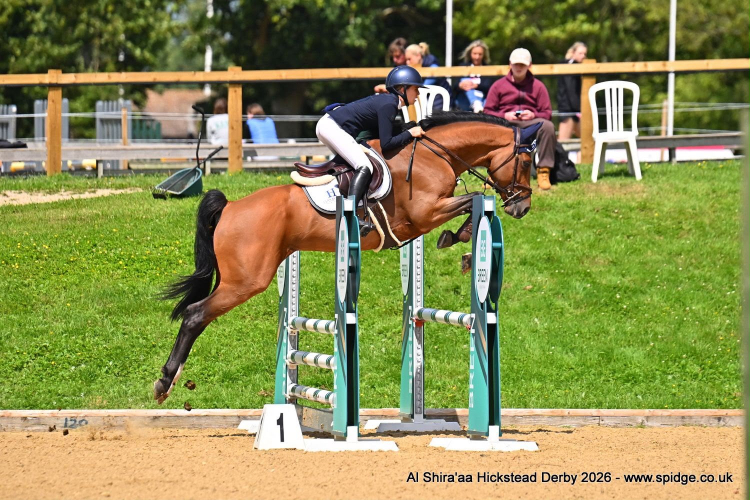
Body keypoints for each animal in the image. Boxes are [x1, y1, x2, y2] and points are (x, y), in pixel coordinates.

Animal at [153, 111, 537, 403]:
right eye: (526, 161)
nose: (522, 207)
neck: (434, 155)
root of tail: (231, 207)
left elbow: (470, 205)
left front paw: (460, 243)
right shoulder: (426, 213)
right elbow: (470, 202)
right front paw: (460, 240)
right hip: (246, 280)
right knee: (195, 315)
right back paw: (165, 382)